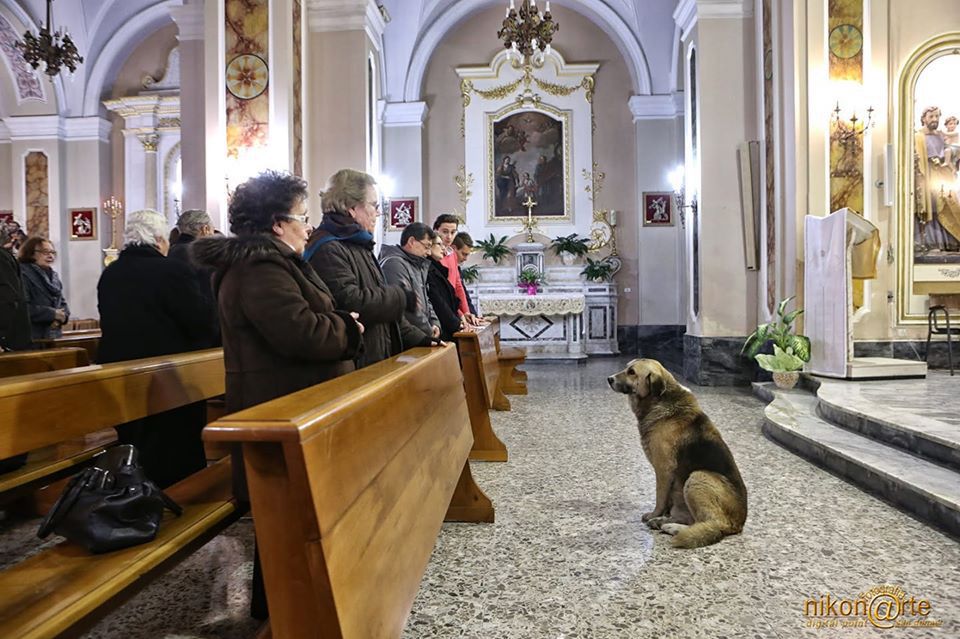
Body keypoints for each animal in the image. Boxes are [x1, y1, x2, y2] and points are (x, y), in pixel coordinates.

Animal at [608, 358, 752, 548]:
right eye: (626, 367)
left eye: (632, 372)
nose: (609, 379)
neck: (659, 400)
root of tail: (738, 524)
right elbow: (667, 501)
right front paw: (662, 516)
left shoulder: (663, 470)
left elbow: (660, 497)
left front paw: (654, 514)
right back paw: (666, 522)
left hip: (698, 477)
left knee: (712, 524)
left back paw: (672, 527)